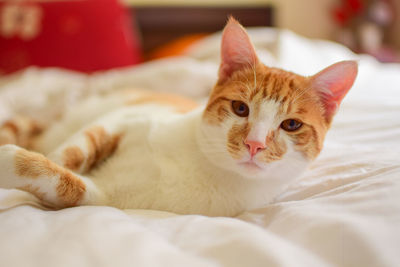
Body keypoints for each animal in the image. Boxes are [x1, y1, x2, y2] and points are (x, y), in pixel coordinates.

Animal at [0, 17, 356, 218]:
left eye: (291, 125)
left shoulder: (102, 198)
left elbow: (66, 184)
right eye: (240, 108)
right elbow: (73, 151)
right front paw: (48, 159)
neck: (205, 168)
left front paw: (15, 164)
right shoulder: (124, 119)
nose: (254, 144)